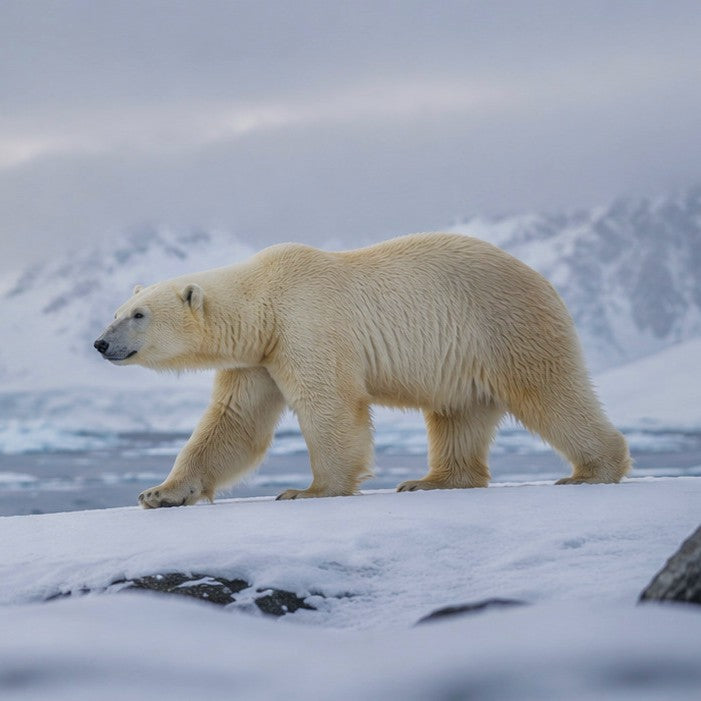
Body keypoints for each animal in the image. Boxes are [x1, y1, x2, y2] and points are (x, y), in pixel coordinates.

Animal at [93, 233, 631, 508]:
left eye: (138, 314)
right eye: (117, 310)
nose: (100, 343)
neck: (264, 298)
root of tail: (541, 279)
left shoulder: (306, 324)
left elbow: (329, 404)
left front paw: (308, 490)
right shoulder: (259, 357)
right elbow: (234, 420)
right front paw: (160, 492)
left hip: (503, 324)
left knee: (549, 392)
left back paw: (593, 471)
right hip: (463, 357)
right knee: (457, 414)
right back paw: (431, 480)